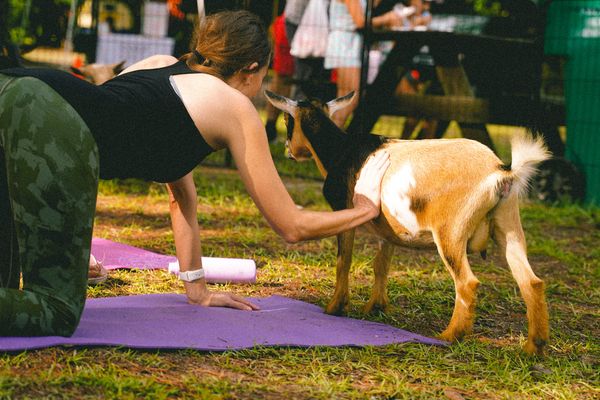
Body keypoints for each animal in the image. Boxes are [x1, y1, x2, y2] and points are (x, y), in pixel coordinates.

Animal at [264, 90, 552, 354]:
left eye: (287, 120)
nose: (288, 151)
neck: (340, 150)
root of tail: (500, 171)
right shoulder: (387, 231)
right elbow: (381, 265)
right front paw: (375, 307)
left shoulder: (343, 212)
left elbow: (343, 261)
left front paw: (335, 307)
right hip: (509, 226)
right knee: (531, 282)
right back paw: (533, 347)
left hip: (450, 233)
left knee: (467, 283)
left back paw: (449, 335)